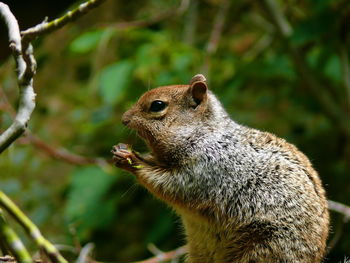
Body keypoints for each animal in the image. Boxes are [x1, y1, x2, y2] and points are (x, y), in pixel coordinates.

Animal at [113, 74, 330, 263]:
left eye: (157, 105)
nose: (124, 118)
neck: (205, 135)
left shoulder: (203, 172)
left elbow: (168, 185)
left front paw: (130, 159)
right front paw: (121, 150)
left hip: (262, 248)